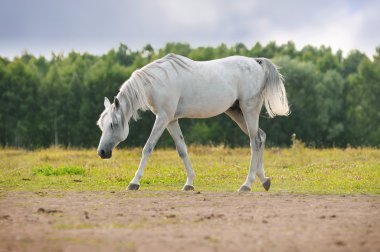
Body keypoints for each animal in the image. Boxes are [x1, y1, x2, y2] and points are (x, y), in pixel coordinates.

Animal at [96, 53, 290, 191]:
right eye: (101, 125)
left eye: (113, 124)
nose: (102, 152)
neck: (156, 81)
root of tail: (256, 62)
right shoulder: (171, 120)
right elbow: (182, 150)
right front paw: (189, 183)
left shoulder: (163, 118)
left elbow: (148, 148)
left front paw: (134, 182)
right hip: (236, 113)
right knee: (261, 137)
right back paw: (264, 180)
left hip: (249, 111)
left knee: (254, 142)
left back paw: (247, 184)